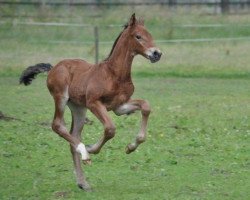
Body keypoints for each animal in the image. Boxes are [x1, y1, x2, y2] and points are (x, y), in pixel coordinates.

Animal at [20, 14, 163, 191]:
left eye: (150, 34)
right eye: (138, 36)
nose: (157, 53)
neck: (114, 74)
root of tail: (53, 68)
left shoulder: (119, 106)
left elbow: (145, 106)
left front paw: (131, 147)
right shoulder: (94, 103)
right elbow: (110, 129)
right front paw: (91, 148)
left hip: (78, 108)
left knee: (73, 135)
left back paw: (83, 182)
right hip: (62, 97)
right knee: (58, 125)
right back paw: (84, 152)